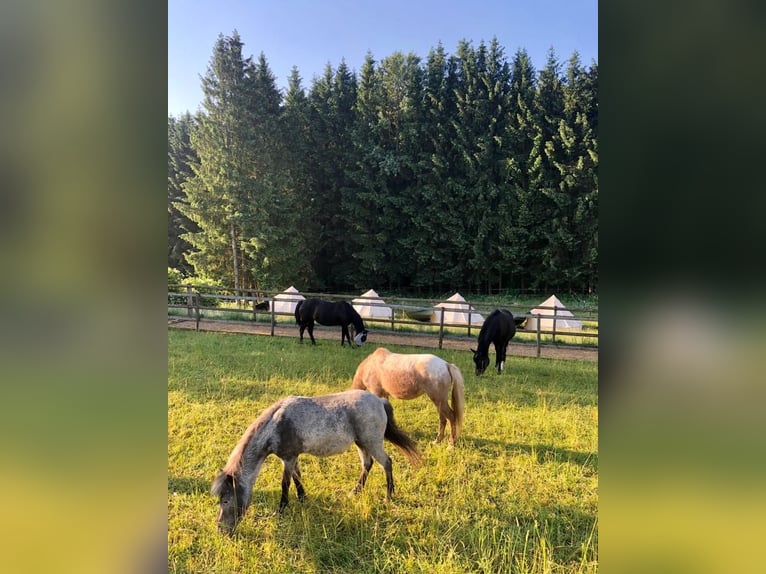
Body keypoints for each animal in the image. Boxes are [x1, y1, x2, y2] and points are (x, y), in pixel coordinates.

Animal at [210, 389, 422, 535]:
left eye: (226, 500)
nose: (221, 529)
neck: (276, 424)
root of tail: (379, 400)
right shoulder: (293, 458)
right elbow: (297, 478)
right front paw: (303, 499)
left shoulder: (288, 458)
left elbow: (285, 483)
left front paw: (281, 509)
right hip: (361, 443)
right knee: (367, 464)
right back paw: (355, 491)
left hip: (373, 442)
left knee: (387, 463)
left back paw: (388, 496)